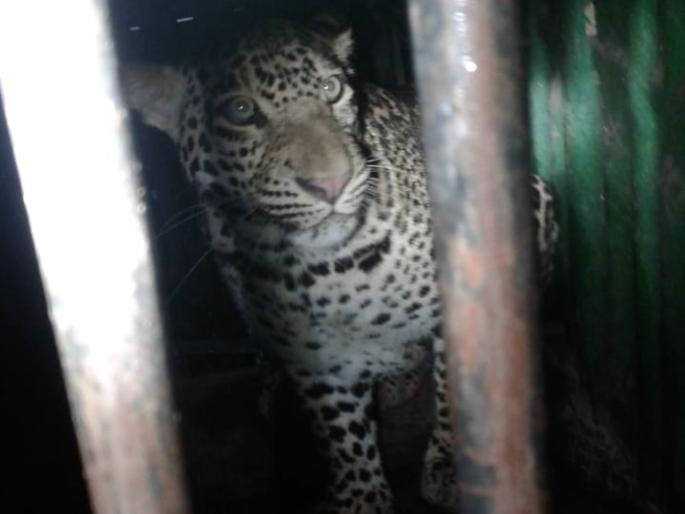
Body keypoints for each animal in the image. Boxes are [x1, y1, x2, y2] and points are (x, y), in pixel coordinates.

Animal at [122, 19, 558, 514]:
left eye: (332, 89)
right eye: (239, 110)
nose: (332, 183)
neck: (326, 271)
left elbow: (458, 387)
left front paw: (454, 464)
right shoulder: (314, 352)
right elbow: (342, 430)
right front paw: (360, 496)